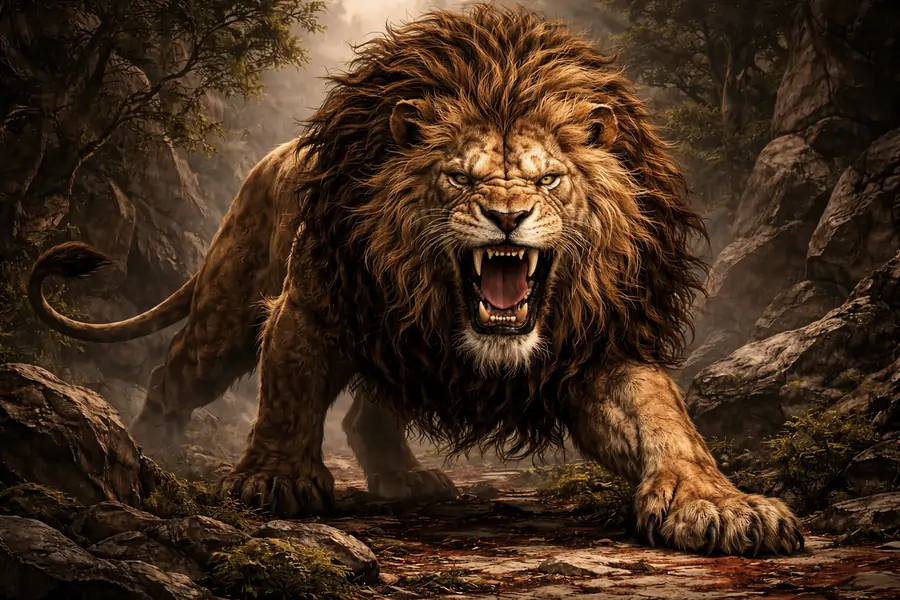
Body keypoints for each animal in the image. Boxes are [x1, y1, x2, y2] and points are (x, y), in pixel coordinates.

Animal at [29, 5, 803, 555]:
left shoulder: (598, 348)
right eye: (459, 177)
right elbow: (287, 393)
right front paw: (277, 479)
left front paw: (722, 505)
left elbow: (665, 418)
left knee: (363, 416)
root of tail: (268, 159)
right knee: (176, 373)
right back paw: (150, 448)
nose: (507, 216)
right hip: (228, 311)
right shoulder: (314, 304)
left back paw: (406, 477)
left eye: (548, 179)